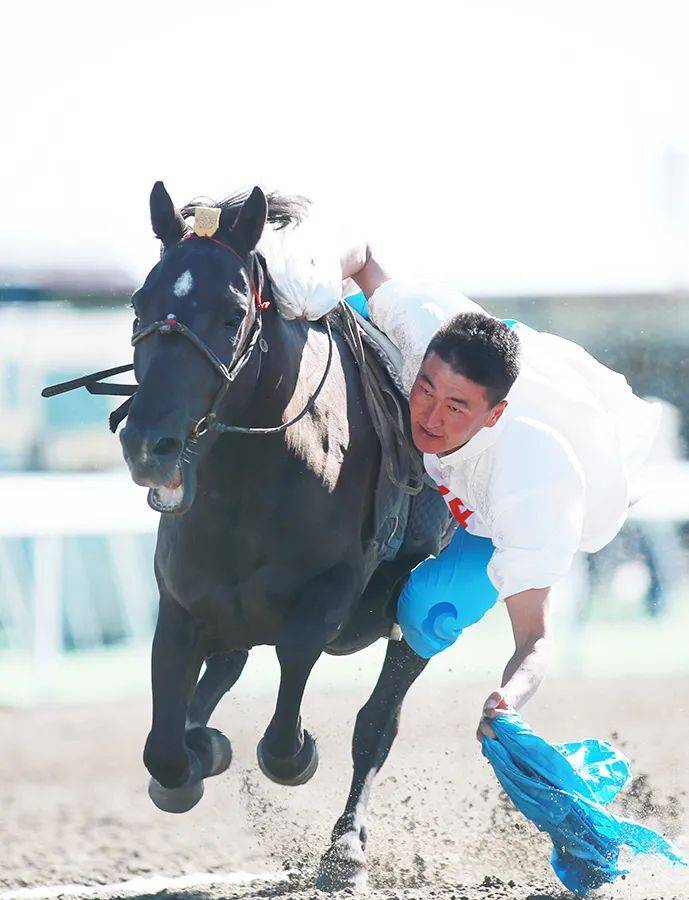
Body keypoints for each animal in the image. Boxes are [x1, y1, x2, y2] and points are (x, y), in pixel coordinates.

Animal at [116, 181, 448, 884]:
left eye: (232, 311)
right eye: (141, 303)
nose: (148, 444)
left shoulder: (332, 588)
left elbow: (294, 685)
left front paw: (293, 755)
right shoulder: (184, 597)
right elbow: (165, 741)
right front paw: (196, 754)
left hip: (417, 609)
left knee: (378, 719)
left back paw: (346, 844)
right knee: (224, 667)